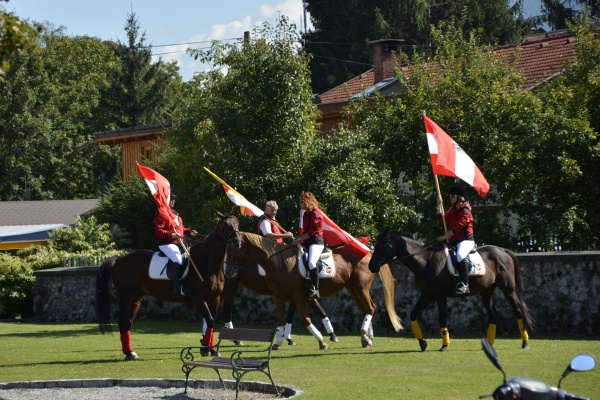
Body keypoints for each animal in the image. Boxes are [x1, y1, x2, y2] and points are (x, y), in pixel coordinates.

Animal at [96, 211, 241, 360]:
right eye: (225, 225)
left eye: (237, 223)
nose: (237, 241)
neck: (207, 261)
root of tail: (119, 258)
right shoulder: (198, 298)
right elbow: (210, 321)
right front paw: (206, 349)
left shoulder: (214, 298)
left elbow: (210, 323)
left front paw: (211, 350)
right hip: (127, 296)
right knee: (123, 321)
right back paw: (129, 353)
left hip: (136, 296)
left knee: (128, 322)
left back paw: (130, 352)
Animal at [230, 231, 404, 350]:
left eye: (235, 245)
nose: (228, 269)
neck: (280, 263)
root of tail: (368, 251)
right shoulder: (279, 296)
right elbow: (280, 320)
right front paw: (278, 342)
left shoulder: (298, 296)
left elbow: (306, 320)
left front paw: (321, 341)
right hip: (353, 288)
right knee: (367, 309)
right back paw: (367, 338)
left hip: (361, 287)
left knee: (370, 308)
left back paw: (365, 337)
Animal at [370, 230, 536, 352]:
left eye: (383, 244)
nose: (372, 266)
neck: (426, 260)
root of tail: (502, 250)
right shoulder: (427, 295)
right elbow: (413, 314)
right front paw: (422, 343)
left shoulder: (440, 296)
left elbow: (442, 319)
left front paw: (444, 345)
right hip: (486, 292)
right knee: (493, 316)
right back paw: (489, 346)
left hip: (508, 290)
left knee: (518, 311)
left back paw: (525, 343)